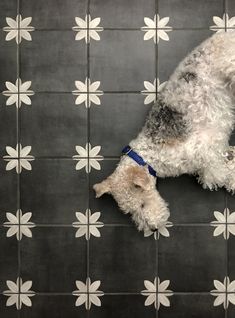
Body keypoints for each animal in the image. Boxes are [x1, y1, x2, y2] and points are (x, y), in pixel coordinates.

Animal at [92, 31, 235, 232]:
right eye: (130, 212)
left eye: (142, 204)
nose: (152, 229)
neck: (151, 155)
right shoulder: (210, 152)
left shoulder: (207, 148)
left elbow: (219, 173)